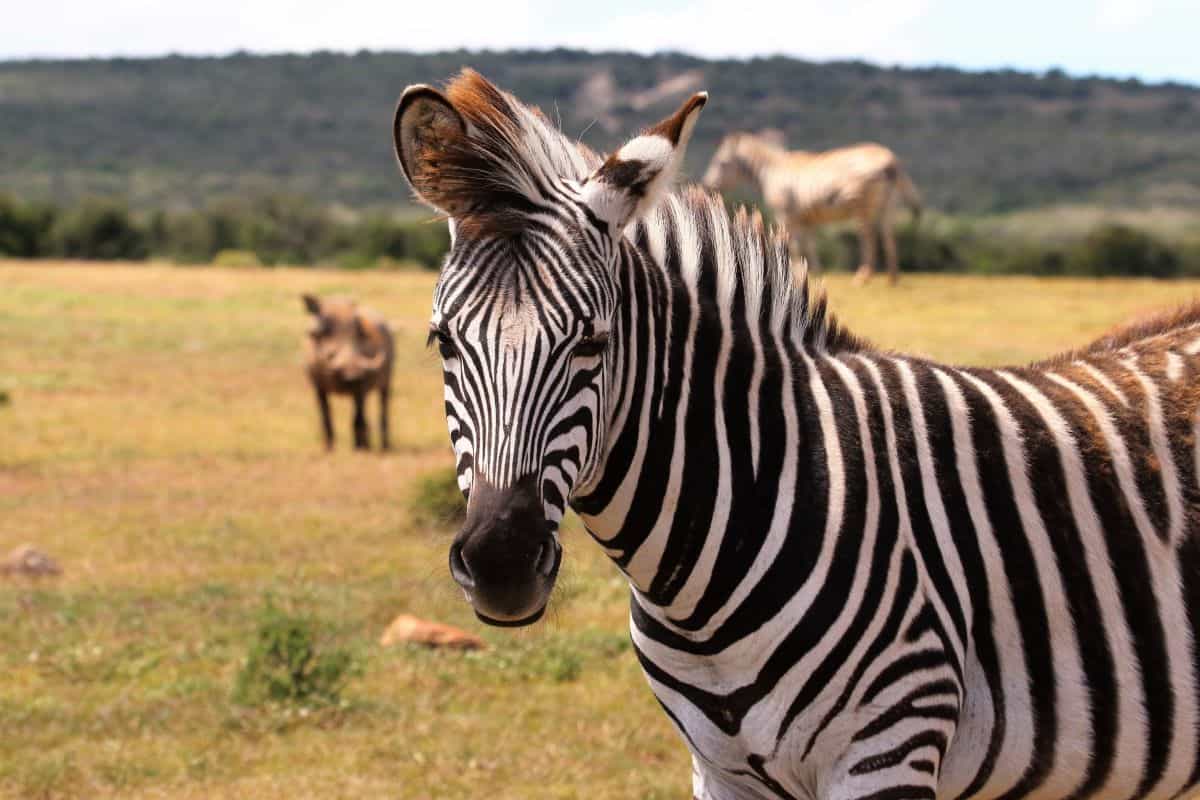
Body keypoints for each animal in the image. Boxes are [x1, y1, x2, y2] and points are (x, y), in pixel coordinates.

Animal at [700, 133, 921, 287]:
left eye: (720, 163)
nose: (706, 185)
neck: (770, 171)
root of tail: (890, 161)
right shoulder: (806, 219)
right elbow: (810, 245)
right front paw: (814, 273)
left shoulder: (786, 215)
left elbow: (794, 245)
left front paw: (794, 274)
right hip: (889, 205)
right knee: (888, 235)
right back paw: (893, 278)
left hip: (861, 205)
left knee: (869, 237)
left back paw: (863, 277)